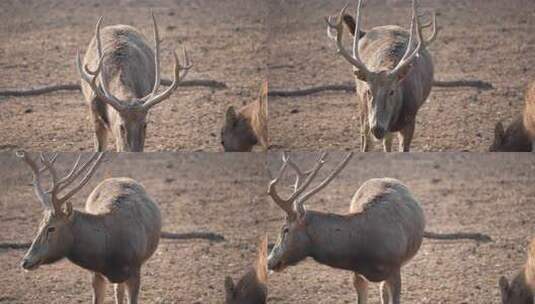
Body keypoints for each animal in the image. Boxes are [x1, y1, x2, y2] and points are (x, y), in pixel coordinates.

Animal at [324, 0, 438, 152]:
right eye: (368, 91)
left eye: (392, 91)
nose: (377, 128)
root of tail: (363, 33)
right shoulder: (366, 114)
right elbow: (366, 147)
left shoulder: (410, 118)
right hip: (362, 107)